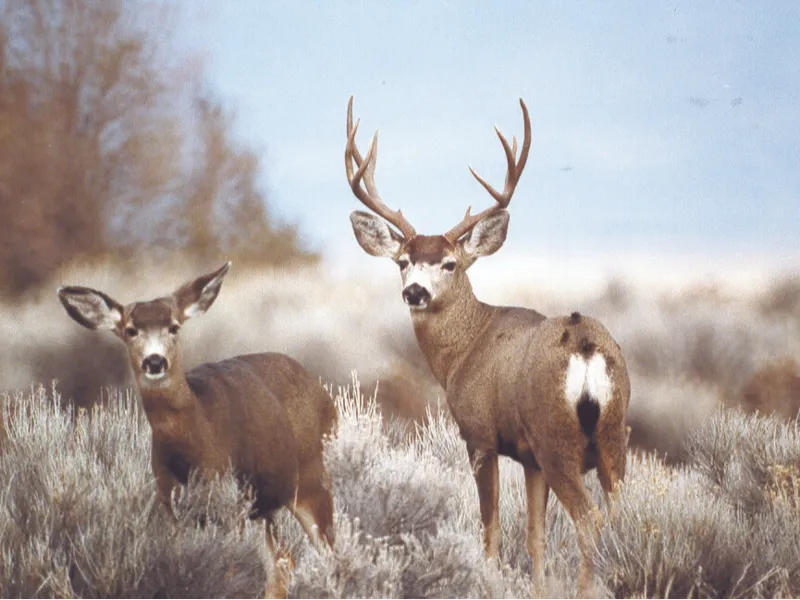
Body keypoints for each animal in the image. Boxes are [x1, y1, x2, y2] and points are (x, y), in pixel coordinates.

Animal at [57, 262, 336, 596]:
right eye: (131, 330)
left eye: (174, 327)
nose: (155, 361)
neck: (197, 437)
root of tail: (323, 394)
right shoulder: (171, 504)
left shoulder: (229, 501)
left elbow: (229, 573)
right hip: (265, 506)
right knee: (282, 562)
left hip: (312, 480)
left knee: (331, 555)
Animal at [344, 97, 630, 594]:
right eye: (402, 261)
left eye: (449, 263)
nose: (414, 291)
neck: (465, 350)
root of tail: (586, 348)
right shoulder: (529, 457)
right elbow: (535, 535)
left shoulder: (479, 435)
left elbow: (490, 529)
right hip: (613, 435)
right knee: (623, 517)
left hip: (559, 440)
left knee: (589, 519)